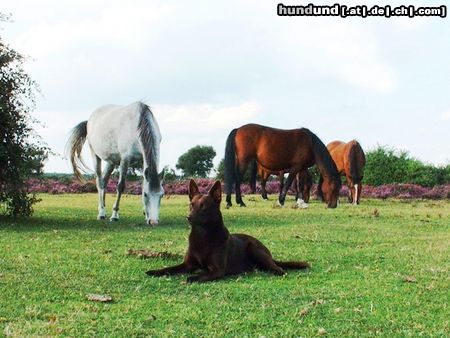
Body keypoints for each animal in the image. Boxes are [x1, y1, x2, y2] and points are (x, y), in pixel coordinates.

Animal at [147, 180, 310, 282]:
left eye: (204, 207)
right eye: (191, 204)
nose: (188, 217)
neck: (202, 237)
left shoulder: (217, 270)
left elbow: (201, 273)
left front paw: (192, 277)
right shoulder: (188, 264)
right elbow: (169, 268)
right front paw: (154, 271)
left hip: (254, 249)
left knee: (280, 269)